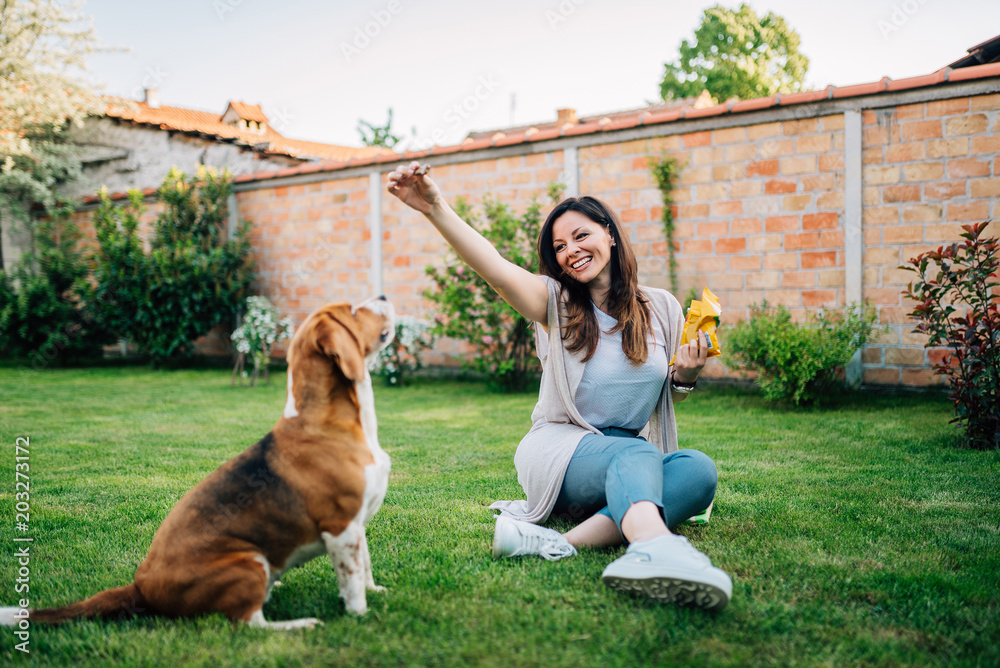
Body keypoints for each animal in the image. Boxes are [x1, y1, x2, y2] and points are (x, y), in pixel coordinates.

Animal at [1, 298, 396, 628]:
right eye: (353, 311)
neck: (327, 420)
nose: (384, 297)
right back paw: (297, 625)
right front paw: (360, 616)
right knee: (248, 623)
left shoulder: (356, 527)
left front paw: (375, 593)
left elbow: (364, 568)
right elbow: (352, 580)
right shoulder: (340, 526)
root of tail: (141, 586)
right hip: (249, 562)